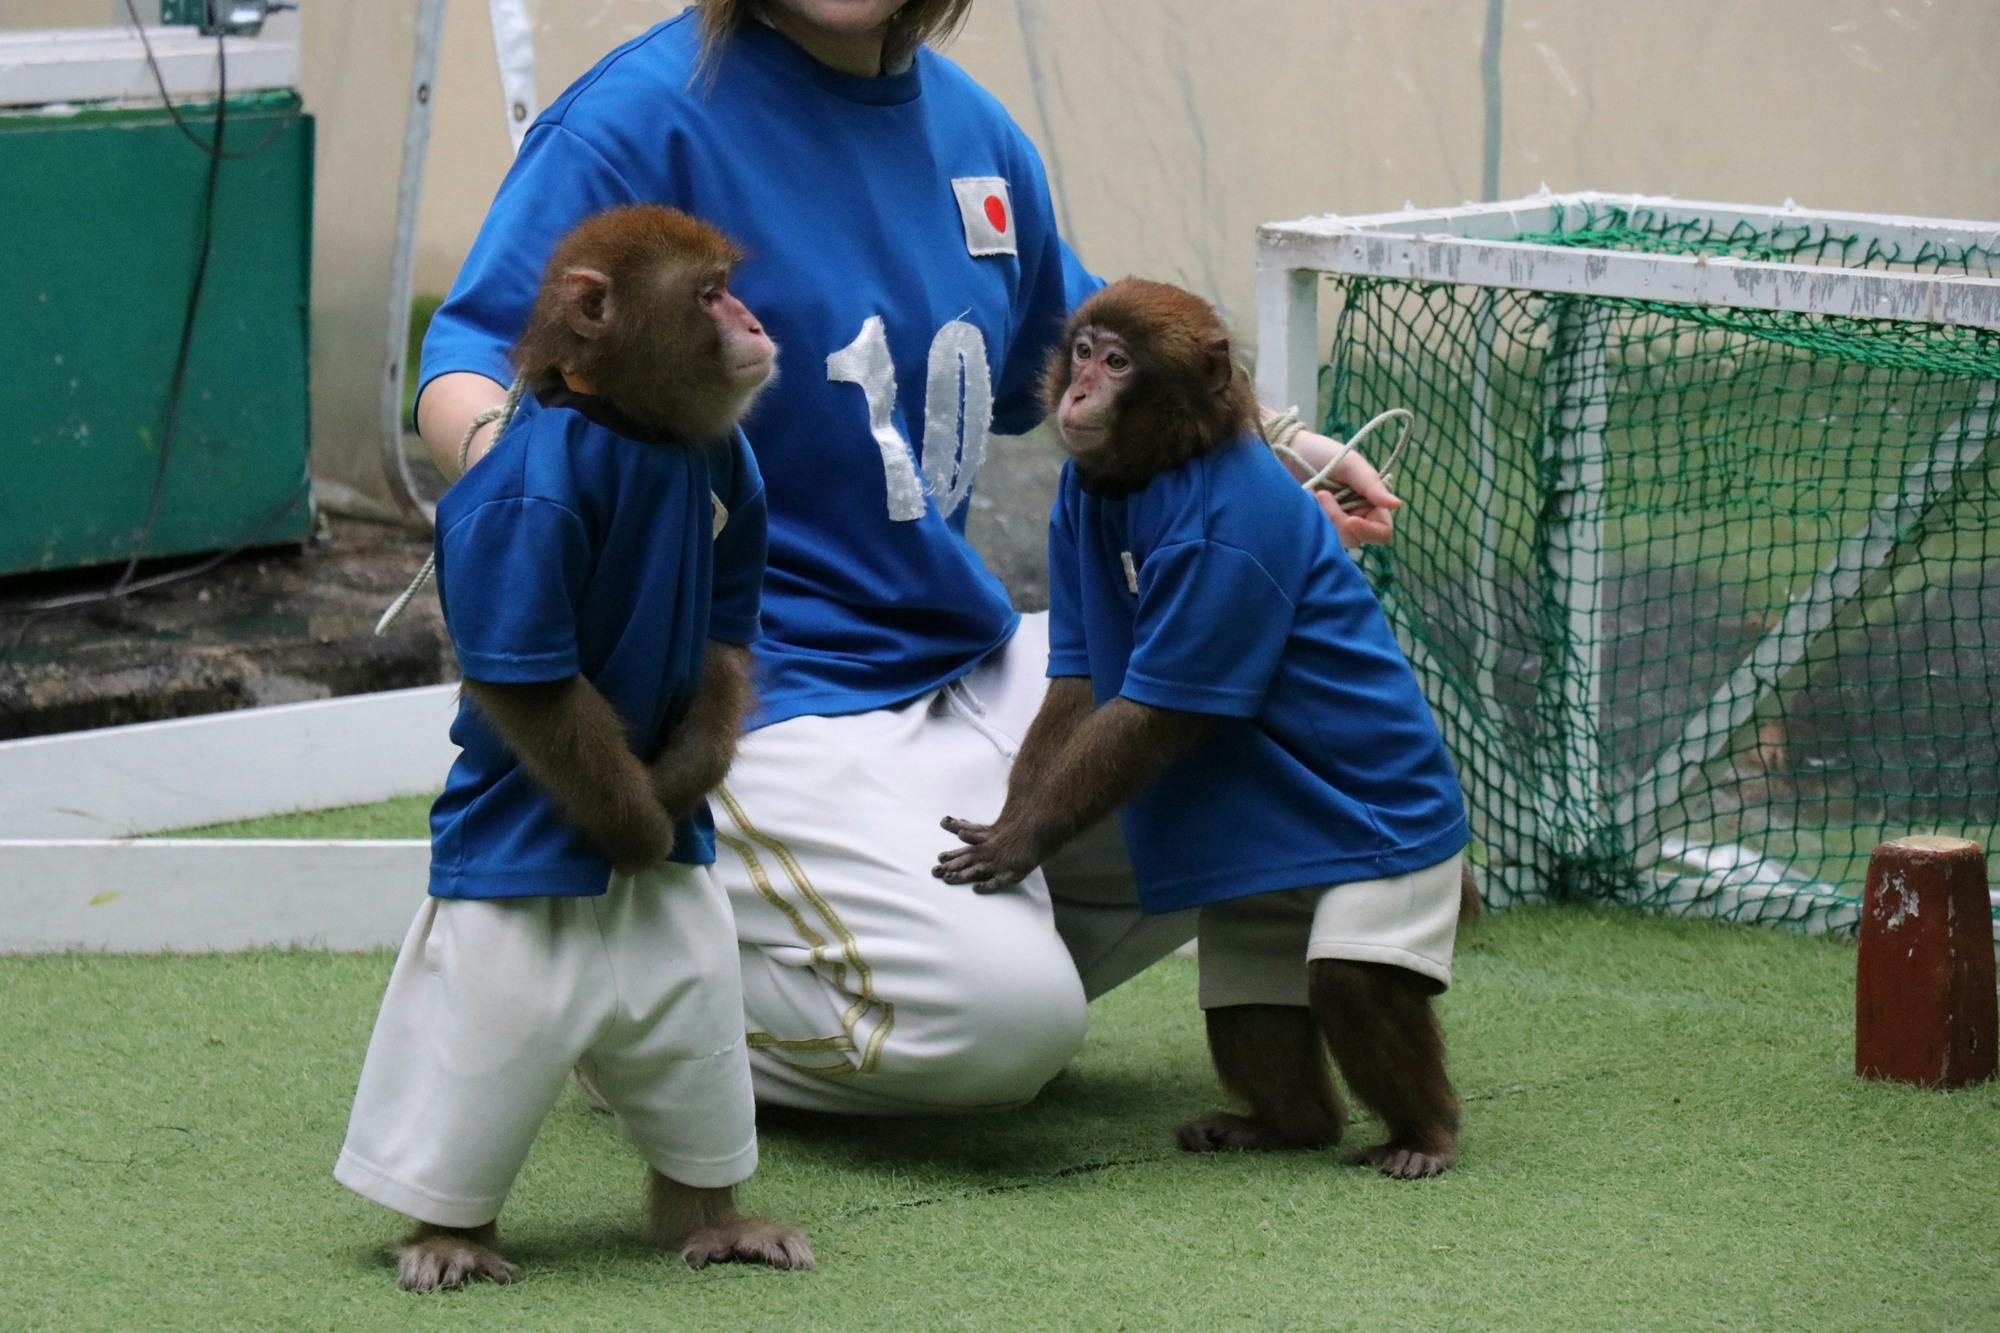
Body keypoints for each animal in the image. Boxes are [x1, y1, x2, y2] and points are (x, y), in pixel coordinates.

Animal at [335, 205, 812, 1291]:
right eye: (709, 291)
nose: (755, 321)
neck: (631, 431)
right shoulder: (519, 511)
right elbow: (535, 687)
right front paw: (637, 828)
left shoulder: (737, 473)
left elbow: (722, 643)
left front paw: (678, 790)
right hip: (491, 991)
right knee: (463, 1098)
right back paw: (446, 1233)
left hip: (686, 990)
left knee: (697, 1087)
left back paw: (712, 1217)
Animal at [935, 278, 1470, 1178]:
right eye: (1085, 351)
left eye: (1119, 363)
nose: (1079, 392)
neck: (1168, 468)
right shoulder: (1078, 504)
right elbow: (1080, 681)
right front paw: (1013, 819)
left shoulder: (1230, 548)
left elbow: (1158, 712)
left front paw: (1020, 839)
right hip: (1259, 903)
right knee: (1249, 993)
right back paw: (1290, 1124)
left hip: (1410, 880)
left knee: (1353, 980)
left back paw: (1423, 1133)